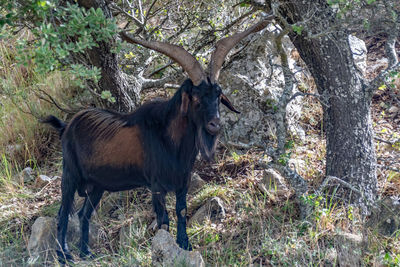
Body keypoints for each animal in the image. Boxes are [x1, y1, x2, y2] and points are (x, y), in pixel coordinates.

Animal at [44, 17, 276, 264]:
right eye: (195, 97)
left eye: (218, 95)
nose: (215, 125)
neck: (170, 141)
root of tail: (67, 126)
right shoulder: (156, 185)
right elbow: (163, 219)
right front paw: (166, 250)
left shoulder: (183, 181)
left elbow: (181, 212)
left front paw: (185, 245)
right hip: (70, 175)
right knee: (63, 213)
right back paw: (64, 255)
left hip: (98, 184)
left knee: (83, 213)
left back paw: (86, 252)